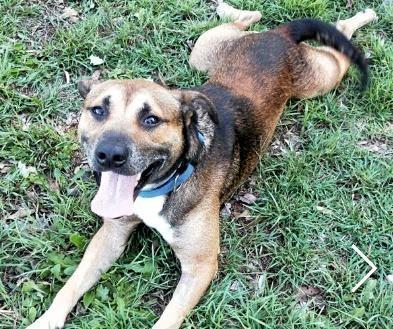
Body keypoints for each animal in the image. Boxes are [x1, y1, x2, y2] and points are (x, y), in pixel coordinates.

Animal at [26, 2, 376, 328]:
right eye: (98, 110)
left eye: (151, 120)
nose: (109, 155)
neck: (165, 184)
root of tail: (279, 36)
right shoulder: (112, 233)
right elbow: (70, 285)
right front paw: (46, 320)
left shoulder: (200, 266)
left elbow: (168, 318)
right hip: (204, 51)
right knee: (246, 20)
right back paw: (234, 10)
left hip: (319, 78)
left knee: (340, 40)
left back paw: (363, 16)